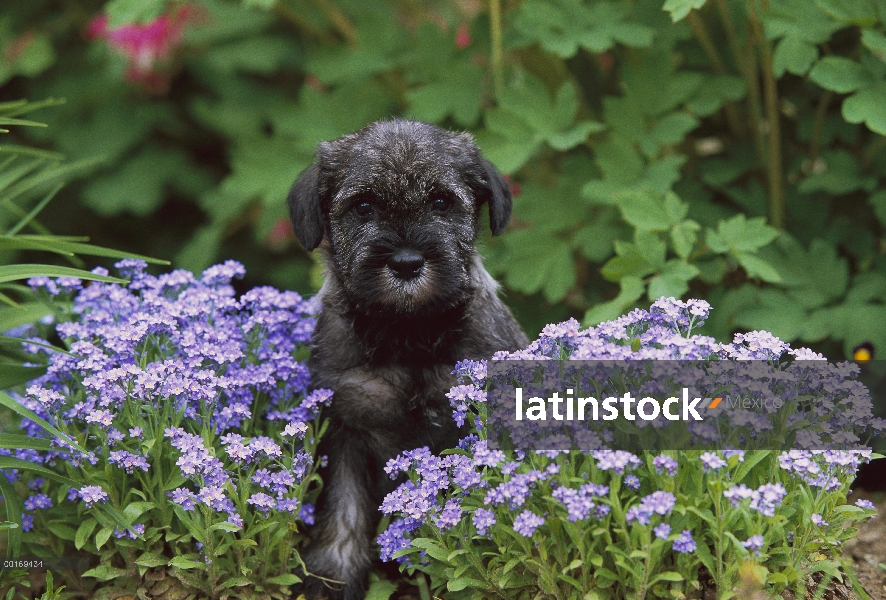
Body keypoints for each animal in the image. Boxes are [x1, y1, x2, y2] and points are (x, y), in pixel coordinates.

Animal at [290, 118, 528, 600]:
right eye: (363, 206)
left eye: (441, 202)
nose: (406, 263)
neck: (408, 335)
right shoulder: (346, 428)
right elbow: (342, 512)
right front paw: (331, 577)